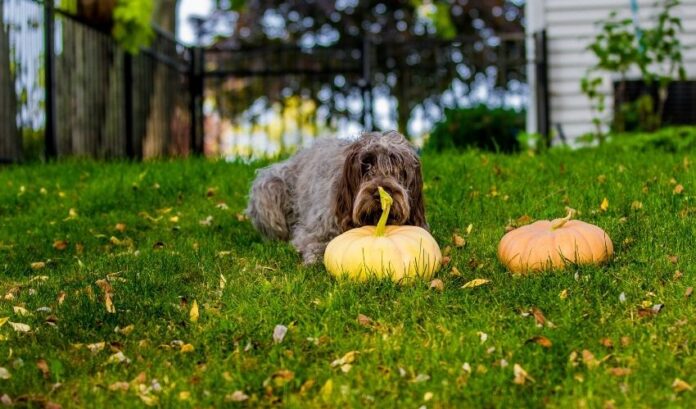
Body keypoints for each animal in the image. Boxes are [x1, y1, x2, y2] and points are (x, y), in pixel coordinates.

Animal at [245, 131, 430, 264]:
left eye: (399, 167)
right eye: (366, 165)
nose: (381, 194)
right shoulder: (313, 231)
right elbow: (318, 244)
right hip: (269, 187)